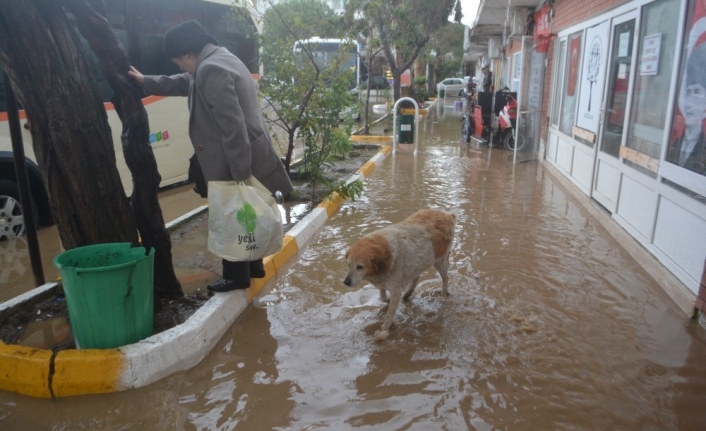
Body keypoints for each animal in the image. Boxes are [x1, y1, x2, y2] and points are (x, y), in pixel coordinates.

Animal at [342, 209, 456, 340]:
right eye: (348, 264)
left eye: (360, 267)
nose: (346, 282)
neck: (388, 254)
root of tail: (447, 214)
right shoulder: (385, 280)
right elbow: (382, 296)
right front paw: (387, 300)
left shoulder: (395, 289)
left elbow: (389, 315)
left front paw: (383, 332)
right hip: (421, 262)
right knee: (416, 277)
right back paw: (407, 294)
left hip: (440, 261)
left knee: (445, 278)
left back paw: (444, 294)